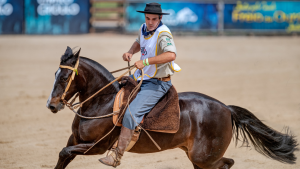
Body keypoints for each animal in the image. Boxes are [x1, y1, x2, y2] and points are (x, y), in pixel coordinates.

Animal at [47, 47, 298, 169]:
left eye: (66, 76)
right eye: (55, 73)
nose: (52, 105)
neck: (103, 102)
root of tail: (227, 109)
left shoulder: (97, 147)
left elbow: (64, 153)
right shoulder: (75, 141)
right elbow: (62, 157)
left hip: (204, 158)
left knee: (228, 163)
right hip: (198, 159)